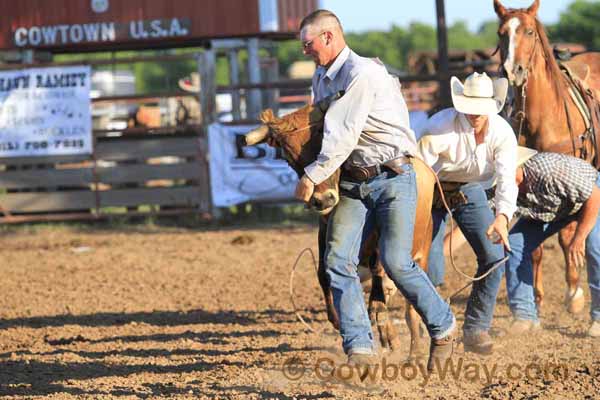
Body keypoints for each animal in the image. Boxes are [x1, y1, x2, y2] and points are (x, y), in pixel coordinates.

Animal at [492, 0, 600, 312]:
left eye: (529, 31)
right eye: (501, 33)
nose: (512, 70)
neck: (544, 117)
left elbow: (567, 237)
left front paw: (574, 293)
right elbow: (535, 246)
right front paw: (537, 296)